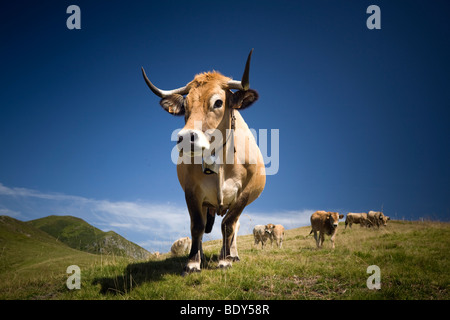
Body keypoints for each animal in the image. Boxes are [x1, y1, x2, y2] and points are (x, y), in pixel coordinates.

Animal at [142, 49, 266, 272]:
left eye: (218, 102)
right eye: (185, 105)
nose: (185, 138)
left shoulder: (245, 192)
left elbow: (228, 224)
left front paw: (225, 259)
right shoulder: (192, 191)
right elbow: (197, 226)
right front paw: (193, 262)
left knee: (234, 225)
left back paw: (232, 254)